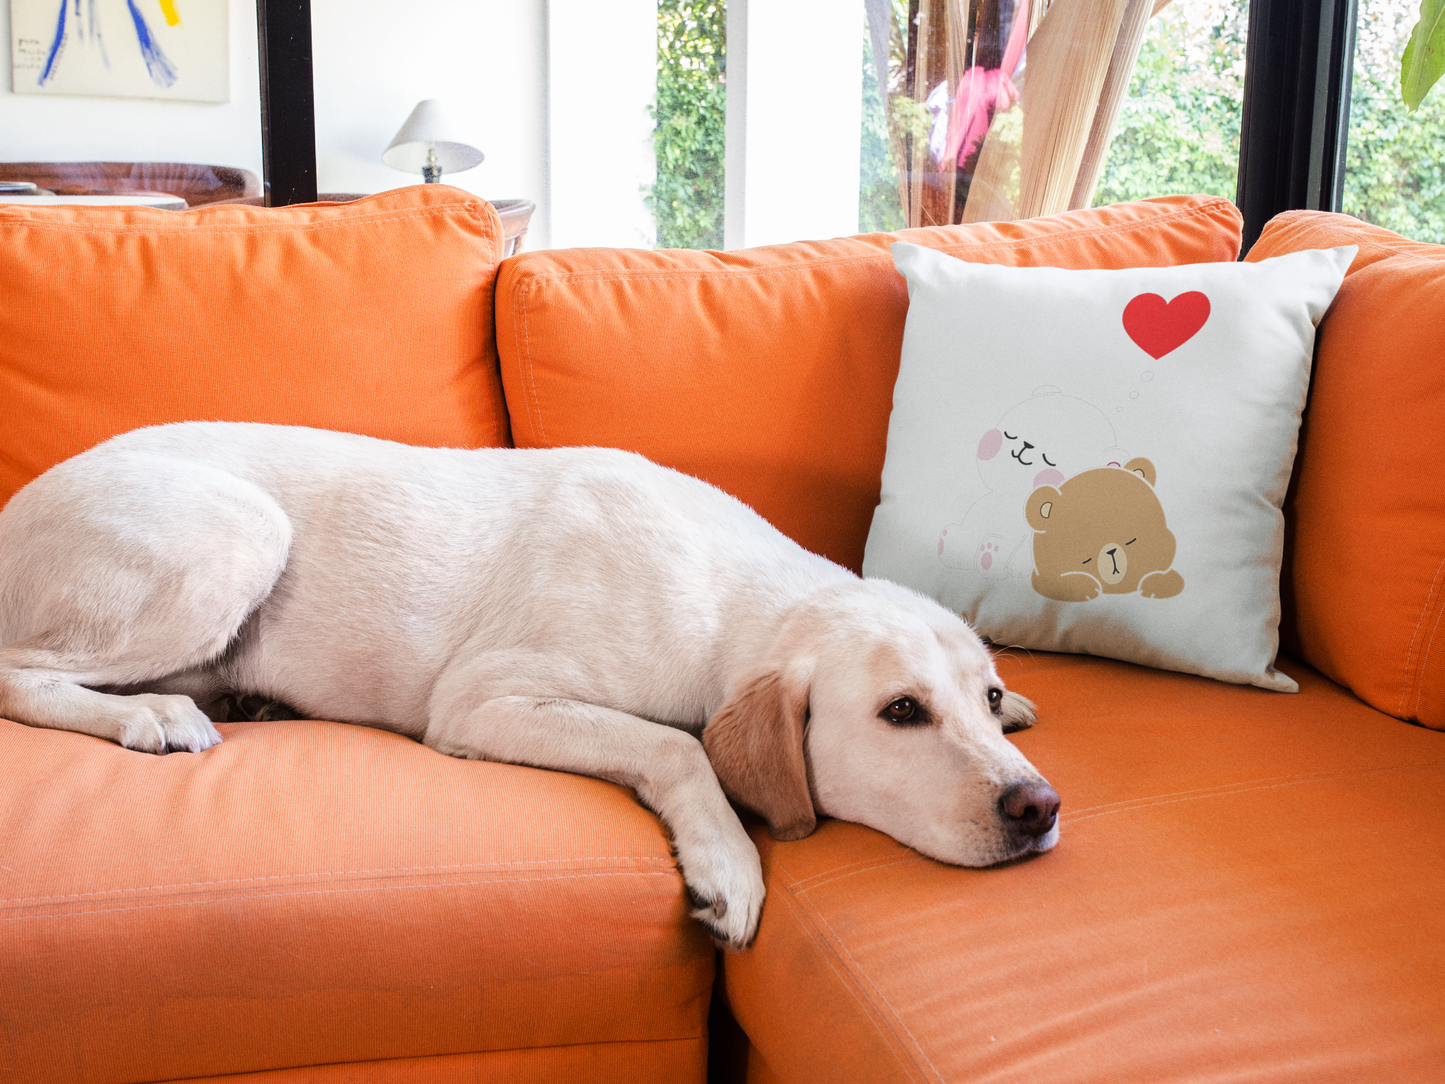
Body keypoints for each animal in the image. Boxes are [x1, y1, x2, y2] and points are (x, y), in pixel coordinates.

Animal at [1024, 457, 1184, 603]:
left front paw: (1159, 582)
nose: (1111, 551)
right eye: (1086, 556)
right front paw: (1084, 587)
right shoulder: (1042, 578)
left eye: (1131, 541)